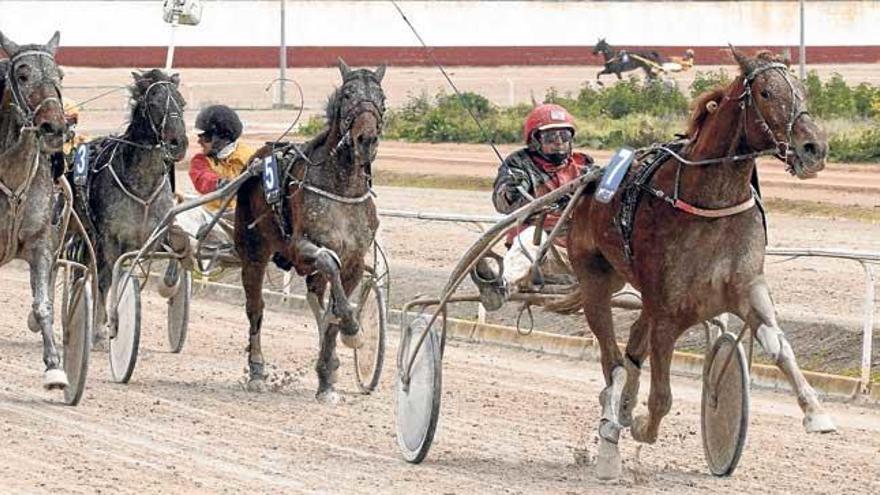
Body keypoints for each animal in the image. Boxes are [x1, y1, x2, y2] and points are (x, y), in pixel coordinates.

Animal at [71, 69, 188, 340]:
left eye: (182, 103)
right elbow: (108, 279)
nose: (178, 143)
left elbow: (172, 256)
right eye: (153, 103)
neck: (141, 184)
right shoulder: (110, 238)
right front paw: (102, 327)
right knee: (91, 273)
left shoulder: (153, 236)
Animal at [234, 59, 384, 404]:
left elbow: (334, 312)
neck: (341, 187)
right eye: (347, 94)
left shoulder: (355, 260)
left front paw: (328, 377)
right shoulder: (302, 247)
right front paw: (353, 330)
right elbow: (329, 262)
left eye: (381, 97)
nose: (366, 139)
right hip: (253, 252)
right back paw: (257, 371)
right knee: (255, 308)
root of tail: (258, 158)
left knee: (316, 299)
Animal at [560, 50, 836, 480]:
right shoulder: (667, 309)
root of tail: (590, 181)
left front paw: (816, 412)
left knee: (630, 351)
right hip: (594, 280)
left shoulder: (747, 287)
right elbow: (661, 397)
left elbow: (779, 345)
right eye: (766, 92)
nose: (813, 148)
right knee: (612, 360)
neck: (709, 202)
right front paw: (640, 426)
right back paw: (610, 437)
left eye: (802, 89)